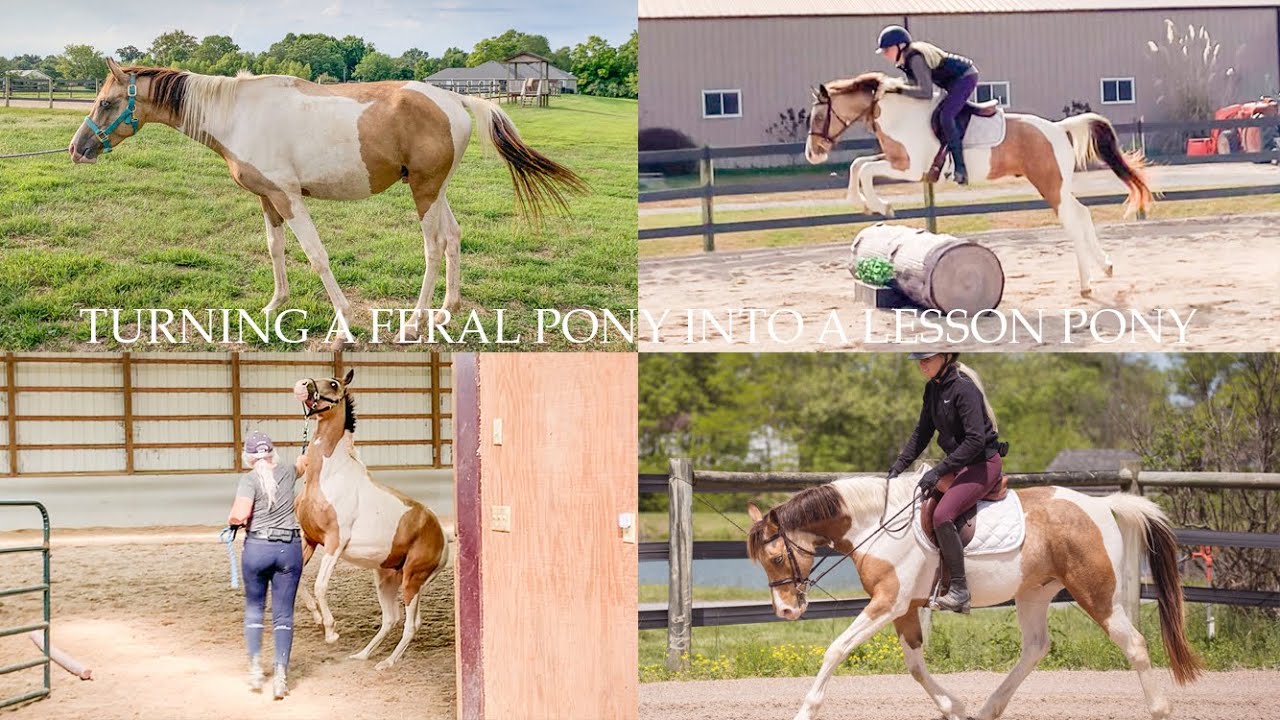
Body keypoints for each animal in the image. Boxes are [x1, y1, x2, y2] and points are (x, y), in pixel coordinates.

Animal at [70, 58, 585, 332]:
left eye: (107, 102)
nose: (78, 149)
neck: (238, 114)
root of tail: (456, 98)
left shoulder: (290, 198)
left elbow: (316, 256)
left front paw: (344, 319)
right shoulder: (267, 199)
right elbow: (275, 249)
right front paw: (274, 305)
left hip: (424, 192)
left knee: (434, 246)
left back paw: (417, 319)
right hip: (437, 191)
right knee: (455, 239)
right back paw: (446, 310)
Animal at [291, 370, 449, 669]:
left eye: (334, 384)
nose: (302, 385)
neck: (328, 476)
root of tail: (444, 536)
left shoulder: (334, 542)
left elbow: (320, 585)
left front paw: (331, 631)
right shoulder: (308, 539)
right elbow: (300, 579)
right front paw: (316, 617)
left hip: (412, 580)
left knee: (411, 624)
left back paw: (386, 663)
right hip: (386, 577)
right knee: (392, 619)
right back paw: (363, 655)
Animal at [745, 467, 1203, 720]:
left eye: (777, 558)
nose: (785, 612)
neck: (874, 523)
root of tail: (1101, 505)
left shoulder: (887, 603)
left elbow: (836, 649)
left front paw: (805, 710)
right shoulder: (904, 607)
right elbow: (915, 666)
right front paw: (956, 708)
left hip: (1096, 593)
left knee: (1135, 644)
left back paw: (1160, 710)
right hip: (1034, 593)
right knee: (1035, 648)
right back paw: (987, 710)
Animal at [805, 73, 1155, 297]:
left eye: (818, 117)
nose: (812, 154)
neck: (897, 115)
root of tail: (1058, 128)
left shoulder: (910, 168)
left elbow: (865, 169)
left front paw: (881, 206)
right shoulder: (894, 159)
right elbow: (858, 165)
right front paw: (863, 203)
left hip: (1049, 185)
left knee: (1071, 221)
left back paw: (1085, 283)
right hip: (1057, 185)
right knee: (1081, 213)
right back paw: (1104, 267)